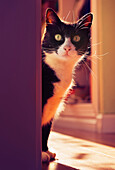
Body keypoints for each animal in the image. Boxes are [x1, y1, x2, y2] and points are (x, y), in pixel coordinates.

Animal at [41, 7, 92, 162]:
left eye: (76, 38)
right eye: (58, 37)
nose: (68, 48)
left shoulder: (54, 104)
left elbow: (46, 129)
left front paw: (45, 151)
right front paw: (41, 154)